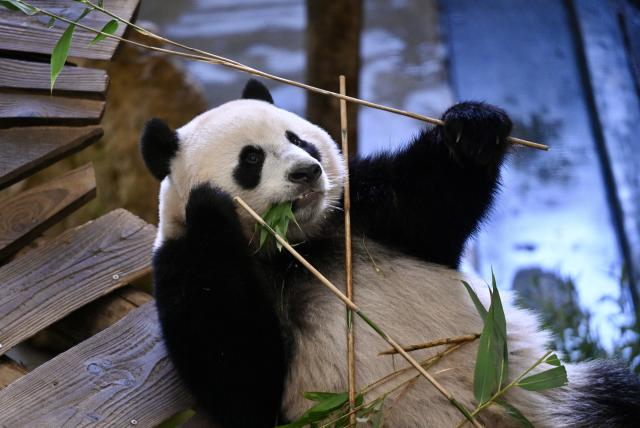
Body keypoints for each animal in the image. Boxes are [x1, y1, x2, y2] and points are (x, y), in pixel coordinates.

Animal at [140, 79, 640, 427]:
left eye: (298, 140)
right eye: (251, 159)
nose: (307, 172)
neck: (293, 246)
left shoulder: (358, 212)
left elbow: (431, 202)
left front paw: (473, 129)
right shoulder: (181, 268)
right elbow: (240, 377)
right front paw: (210, 207)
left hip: (558, 393)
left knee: (621, 392)